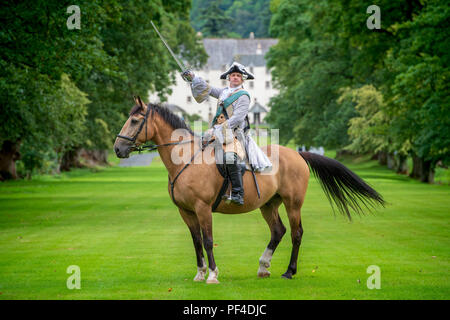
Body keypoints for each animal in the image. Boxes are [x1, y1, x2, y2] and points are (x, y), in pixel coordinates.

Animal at [114, 96, 384, 284]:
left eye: (135, 121)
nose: (117, 149)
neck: (187, 159)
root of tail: (297, 154)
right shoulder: (186, 212)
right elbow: (196, 241)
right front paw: (200, 273)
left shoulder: (203, 209)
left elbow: (208, 240)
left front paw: (213, 275)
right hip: (269, 204)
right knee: (278, 231)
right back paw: (263, 266)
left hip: (293, 203)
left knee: (296, 233)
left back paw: (289, 271)